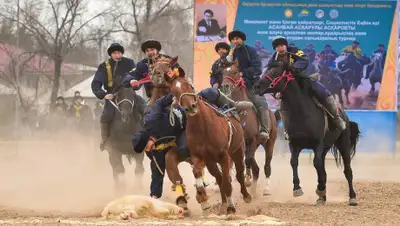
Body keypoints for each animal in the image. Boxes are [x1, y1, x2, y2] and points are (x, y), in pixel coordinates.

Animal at [162, 57, 250, 215]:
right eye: (174, 91)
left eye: (189, 85)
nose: (191, 107)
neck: (203, 128)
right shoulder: (199, 157)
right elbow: (198, 173)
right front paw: (203, 198)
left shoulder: (224, 156)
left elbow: (228, 182)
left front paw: (231, 207)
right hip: (211, 162)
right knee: (219, 178)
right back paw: (222, 204)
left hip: (238, 150)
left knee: (239, 174)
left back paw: (245, 196)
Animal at [219, 60, 278, 196]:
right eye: (223, 72)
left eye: (235, 72)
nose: (225, 86)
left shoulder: (253, 140)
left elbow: (248, 160)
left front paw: (247, 180)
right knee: (255, 168)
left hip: (269, 143)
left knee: (266, 165)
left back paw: (266, 188)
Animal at [255, 64, 360, 207]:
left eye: (276, 73)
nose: (257, 86)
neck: (302, 113)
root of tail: (345, 115)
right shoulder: (294, 144)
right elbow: (294, 162)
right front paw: (298, 189)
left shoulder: (317, 144)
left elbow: (316, 164)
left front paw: (319, 189)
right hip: (325, 148)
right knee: (323, 169)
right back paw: (322, 198)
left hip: (342, 144)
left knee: (347, 170)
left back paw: (352, 197)